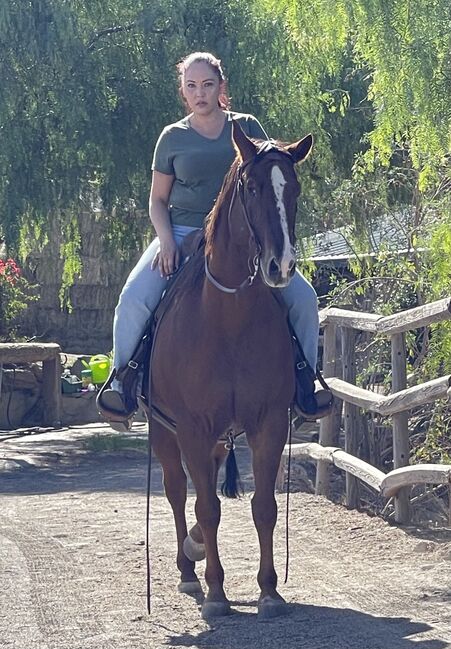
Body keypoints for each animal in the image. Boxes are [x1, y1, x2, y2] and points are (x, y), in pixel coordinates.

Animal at [150, 119, 312, 620]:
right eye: (253, 186)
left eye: (294, 188)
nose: (281, 266)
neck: (229, 318)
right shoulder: (192, 427)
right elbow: (206, 508)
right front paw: (216, 592)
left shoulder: (269, 422)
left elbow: (263, 507)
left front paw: (269, 590)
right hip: (164, 430)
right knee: (176, 491)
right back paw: (188, 570)